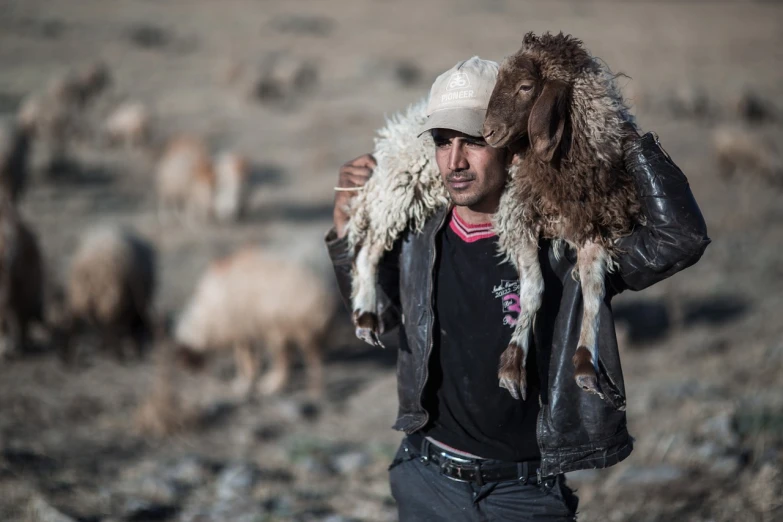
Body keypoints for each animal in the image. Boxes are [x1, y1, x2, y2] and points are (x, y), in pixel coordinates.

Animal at [175, 246, 334, 396]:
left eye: (186, 357)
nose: (191, 376)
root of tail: (323, 301)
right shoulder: (247, 329)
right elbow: (250, 356)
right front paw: (250, 377)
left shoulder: (238, 329)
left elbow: (242, 358)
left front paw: (242, 383)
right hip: (301, 331)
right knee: (310, 359)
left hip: (281, 327)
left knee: (289, 361)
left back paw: (274, 385)